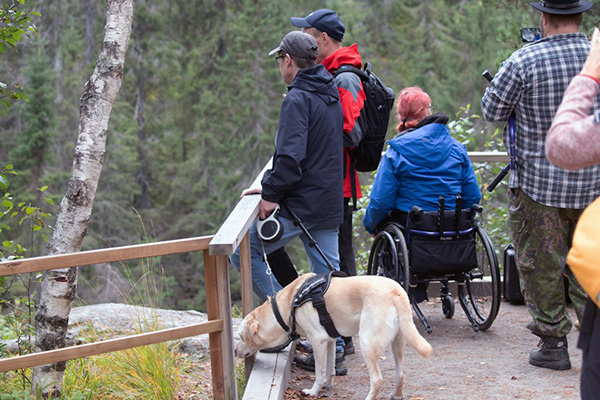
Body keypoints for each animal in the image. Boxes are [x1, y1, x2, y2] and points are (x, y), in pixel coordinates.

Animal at [233, 274, 432, 398]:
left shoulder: (318, 340)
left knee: (377, 379)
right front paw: (328, 385)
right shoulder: (329, 340)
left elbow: (319, 372)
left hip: (367, 342)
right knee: (400, 374)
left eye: (240, 337)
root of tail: (397, 291)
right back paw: (396, 395)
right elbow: (330, 368)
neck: (290, 303)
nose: (234, 351)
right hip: (398, 343)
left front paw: (313, 391)